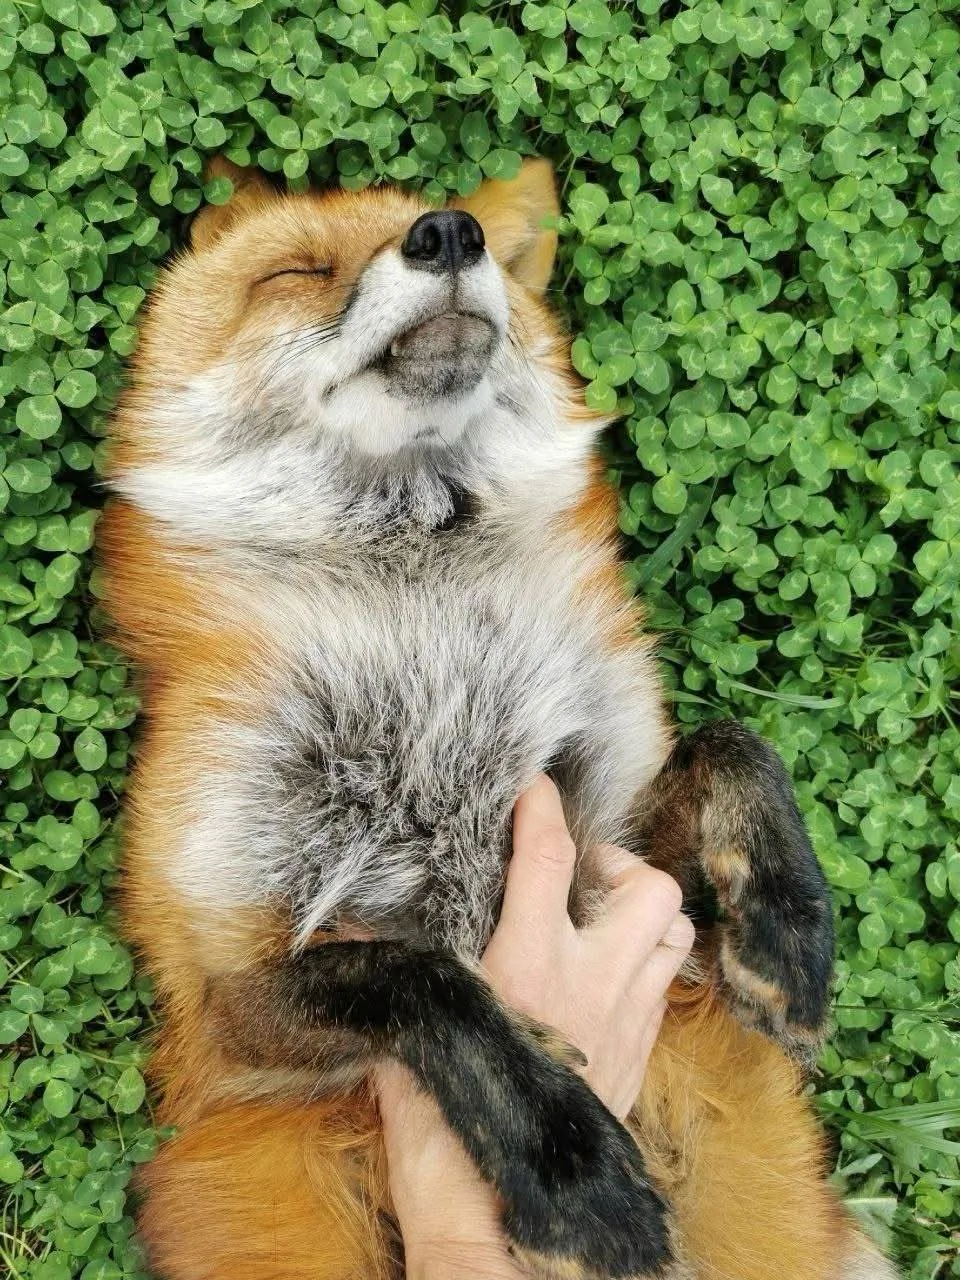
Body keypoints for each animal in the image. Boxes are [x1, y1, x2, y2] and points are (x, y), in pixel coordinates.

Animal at [97, 155, 898, 1280]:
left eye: (460, 237)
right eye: (297, 272)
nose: (449, 234)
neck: (425, 636)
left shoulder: (618, 860)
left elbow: (733, 742)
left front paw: (789, 933)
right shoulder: (223, 995)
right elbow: (423, 980)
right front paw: (570, 1170)